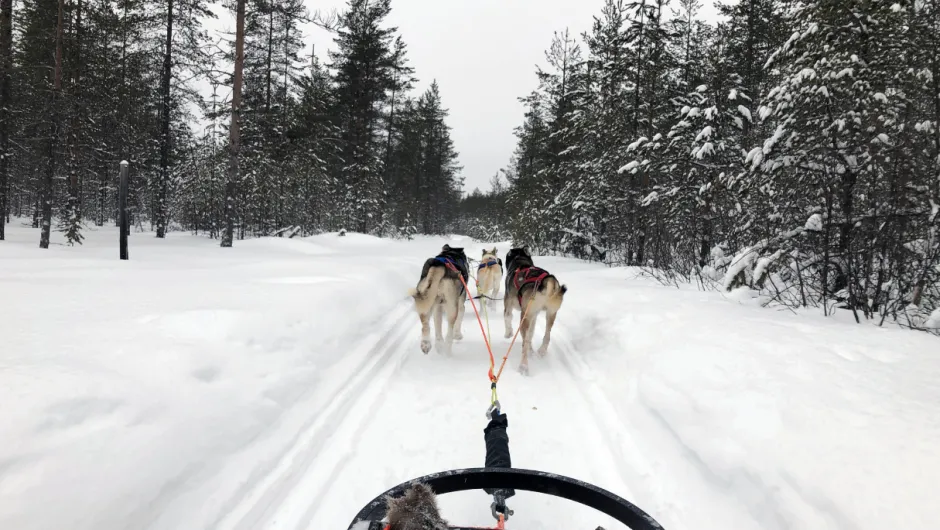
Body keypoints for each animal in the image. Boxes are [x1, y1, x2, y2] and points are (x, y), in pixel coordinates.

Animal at [504, 245, 568, 374]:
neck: (520, 261)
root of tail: (547, 283)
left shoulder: (508, 303)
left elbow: (507, 317)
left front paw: (508, 333)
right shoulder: (534, 314)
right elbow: (532, 332)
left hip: (524, 317)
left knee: (525, 343)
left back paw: (524, 366)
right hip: (550, 313)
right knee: (546, 335)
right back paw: (541, 351)